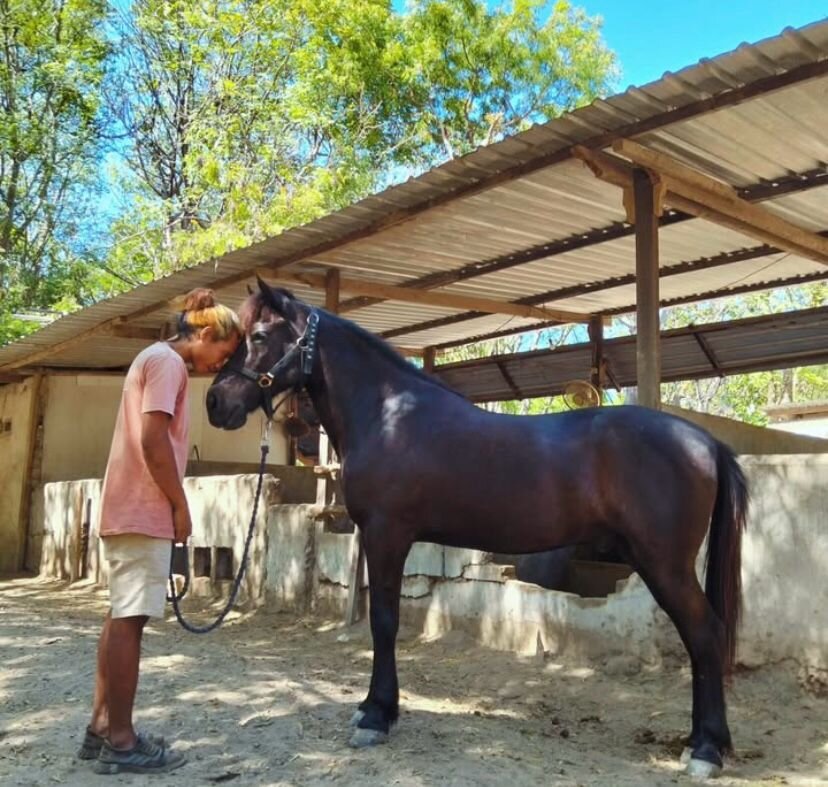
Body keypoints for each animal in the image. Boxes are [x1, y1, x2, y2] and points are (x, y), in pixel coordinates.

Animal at [205, 279, 748, 778]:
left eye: (258, 335)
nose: (214, 403)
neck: (387, 414)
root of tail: (705, 441)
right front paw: (374, 709)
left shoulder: (386, 536)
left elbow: (384, 622)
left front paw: (376, 716)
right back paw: (702, 741)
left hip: (664, 564)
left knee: (705, 635)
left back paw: (705, 751)